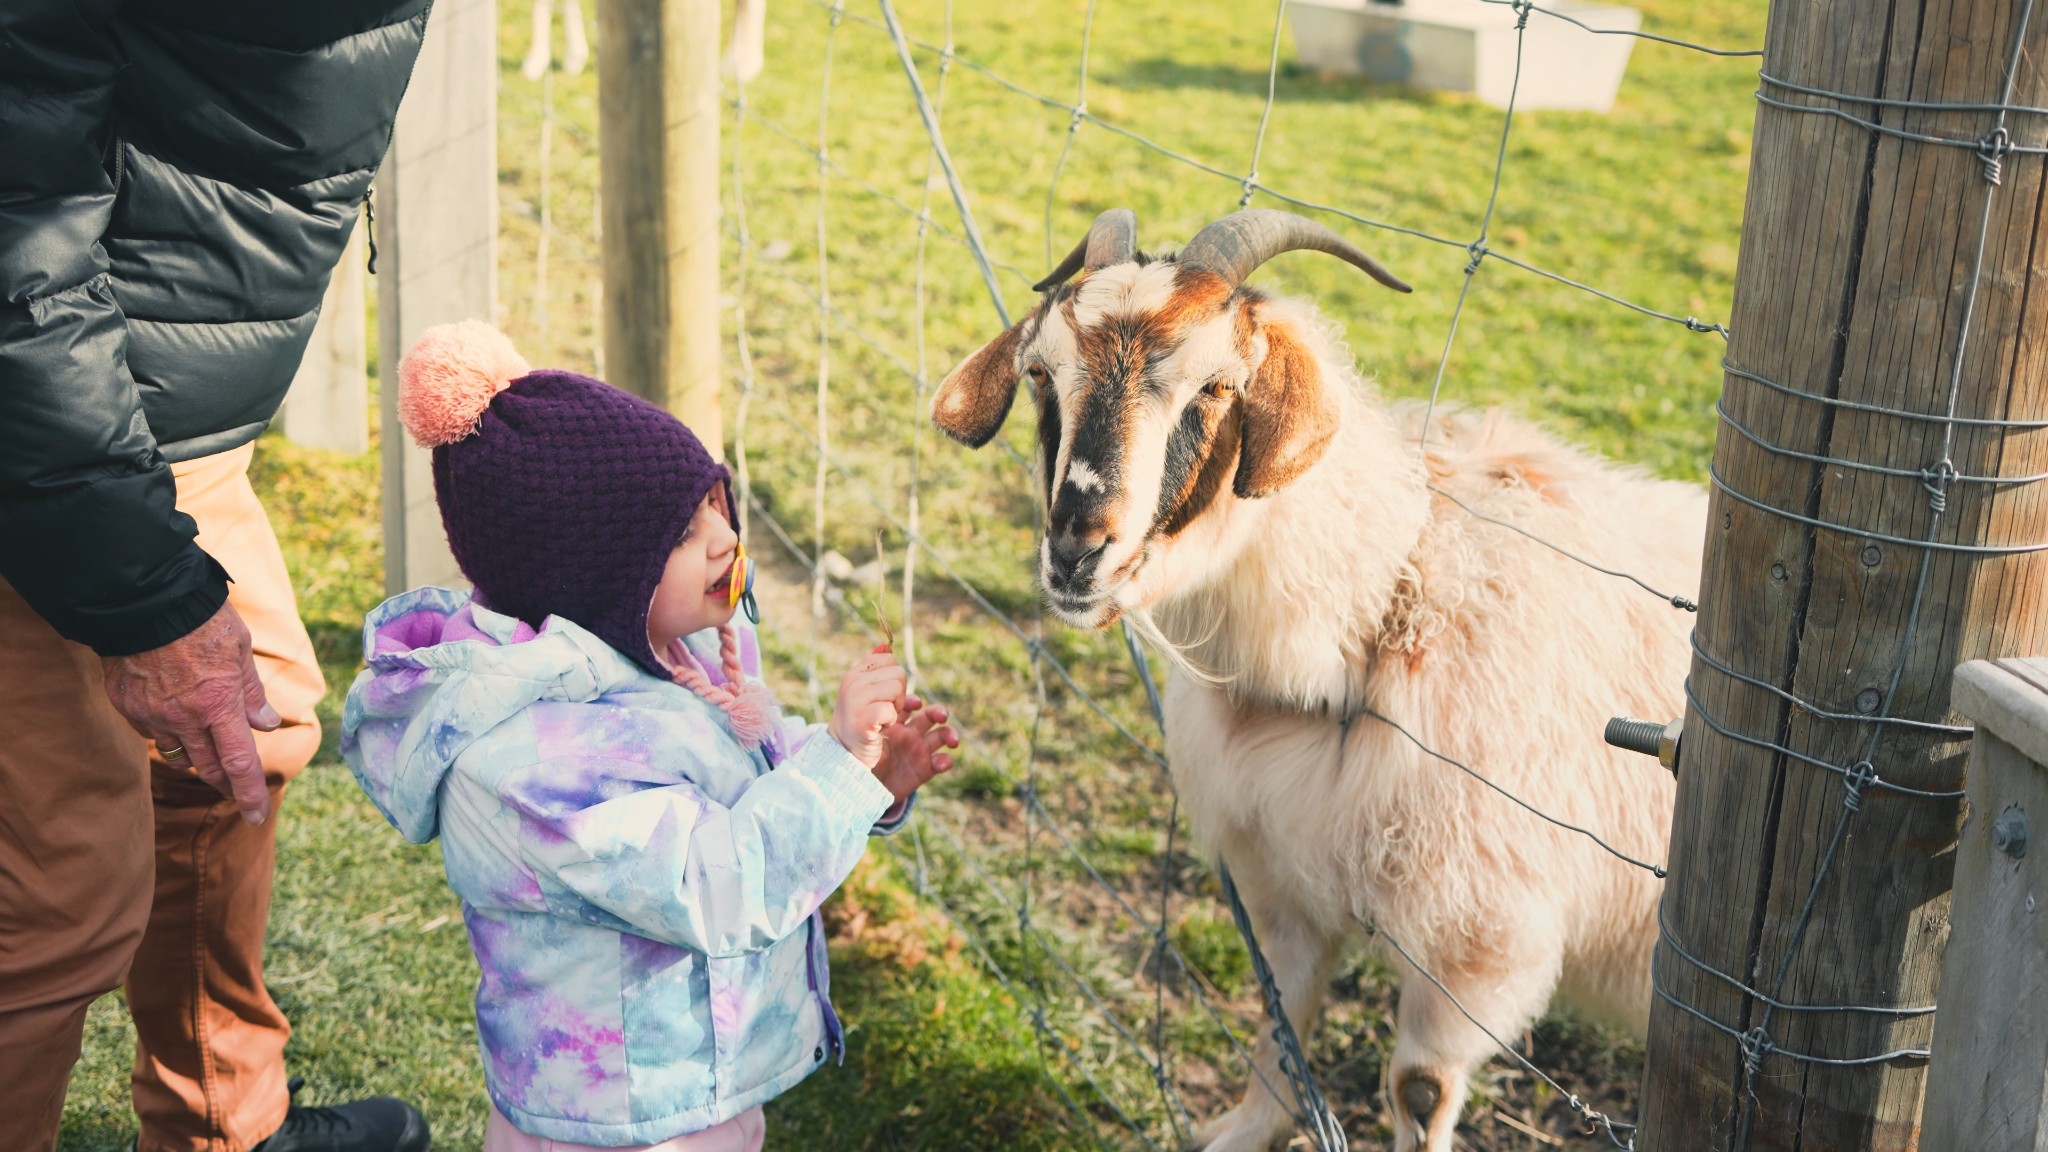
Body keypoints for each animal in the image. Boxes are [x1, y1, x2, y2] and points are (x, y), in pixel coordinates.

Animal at [929, 208, 1695, 1147]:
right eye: (1041, 373)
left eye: (1218, 387)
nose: (1077, 549)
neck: (1388, 601)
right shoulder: (1277, 879)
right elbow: (1281, 1024)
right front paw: (1240, 1132)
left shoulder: (1478, 943)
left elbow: (1417, 1088)